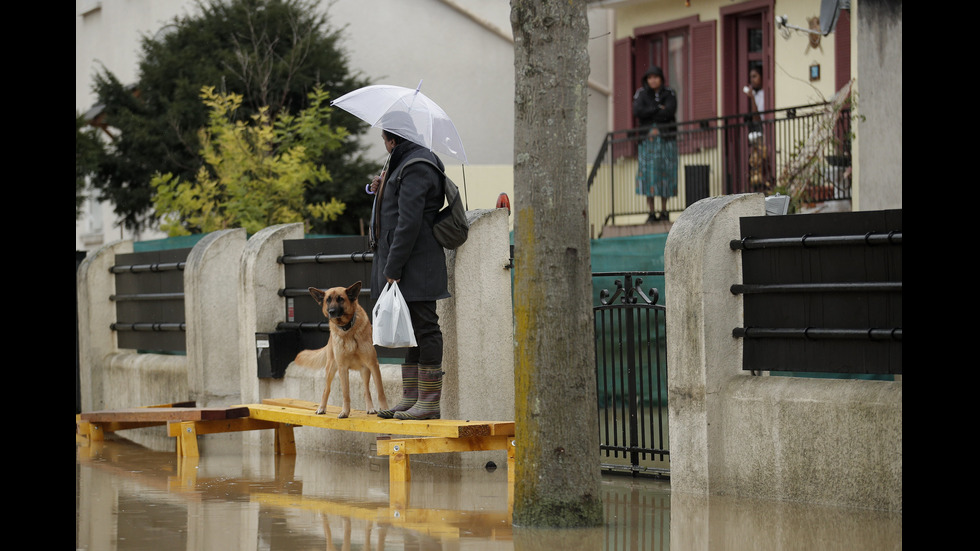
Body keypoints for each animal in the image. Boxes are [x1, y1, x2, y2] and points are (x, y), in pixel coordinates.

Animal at [290, 282, 386, 420]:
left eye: (341, 299)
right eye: (328, 300)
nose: (331, 312)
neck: (347, 328)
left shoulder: (373, 365)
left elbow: (380, 391)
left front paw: (385, 409)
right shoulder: (343, 368)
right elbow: (346, 394)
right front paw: (345, 412)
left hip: (365, 371)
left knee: (366, 390)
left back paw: (370, 408)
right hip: (331, 368)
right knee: (326, 389)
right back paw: (321, 408)